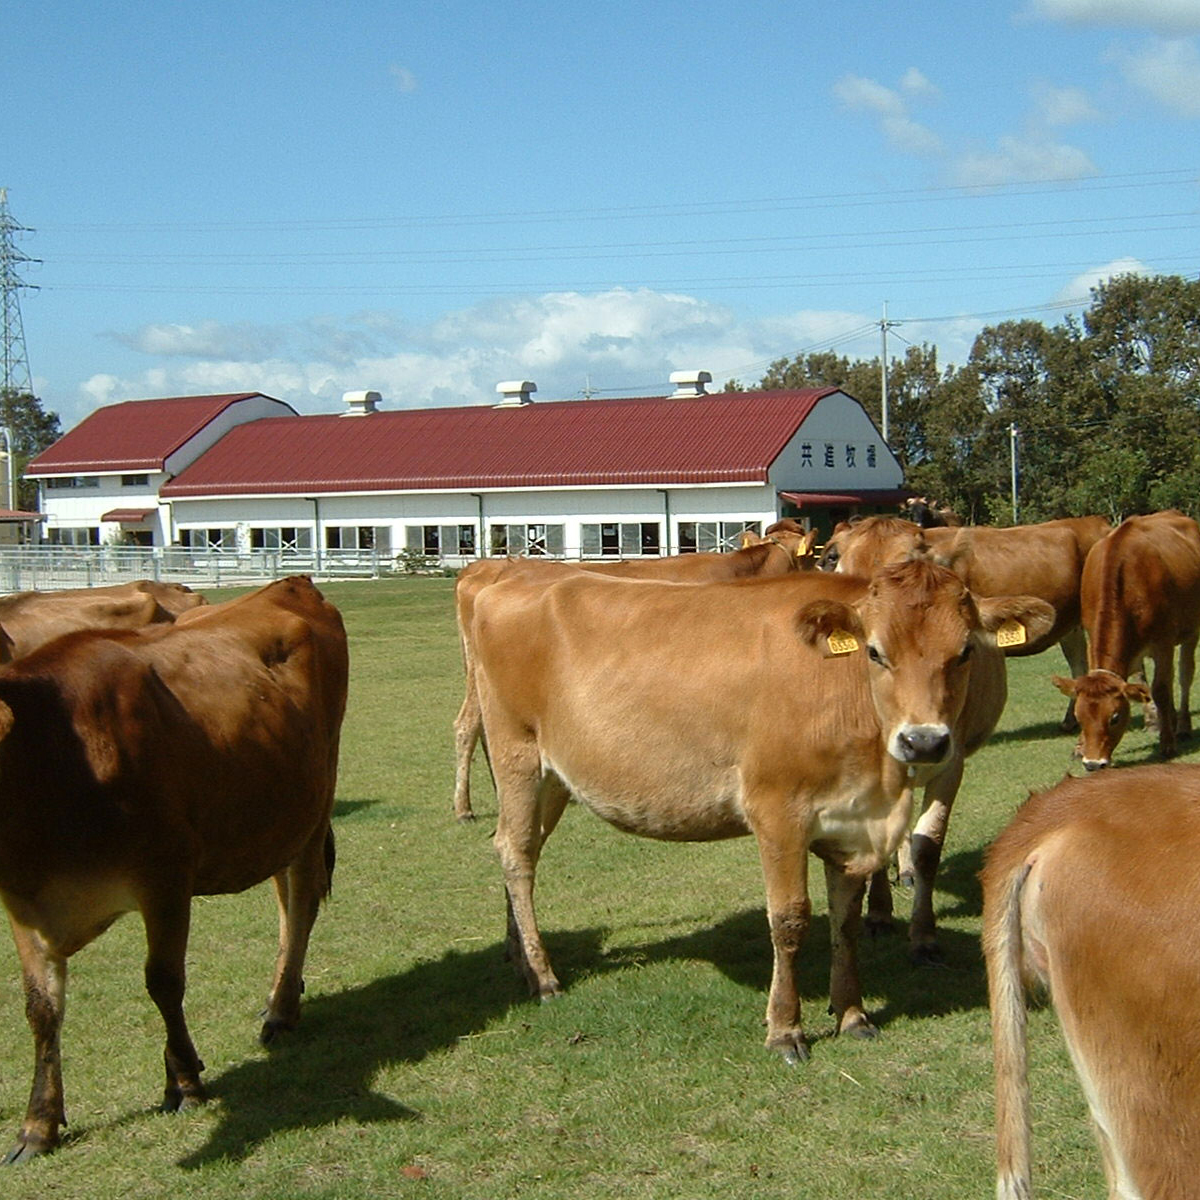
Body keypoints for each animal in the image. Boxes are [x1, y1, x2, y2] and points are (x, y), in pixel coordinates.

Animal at [0, 576, 350, 1156]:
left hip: (316, 797)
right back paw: (281, 991)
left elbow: (163, 982)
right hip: (279, 806)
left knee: (301, 899)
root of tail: (290, 584)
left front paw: (183, 1080)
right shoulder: (23, 903)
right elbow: (40, 1007)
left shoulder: (165, 876)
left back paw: (281, 1009)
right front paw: (38, 1123)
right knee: (285, 895)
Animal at [1051, 506, 1200, 768]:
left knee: (1184, 676)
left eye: (1115, 717)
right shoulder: (1092, 633)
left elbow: (1161, 688)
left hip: (1191, 631)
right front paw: (1079, 746)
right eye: (1079, 716)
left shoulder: (1163, 642)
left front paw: (1167, 743)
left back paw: (1181, 725)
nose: (1093, 763)